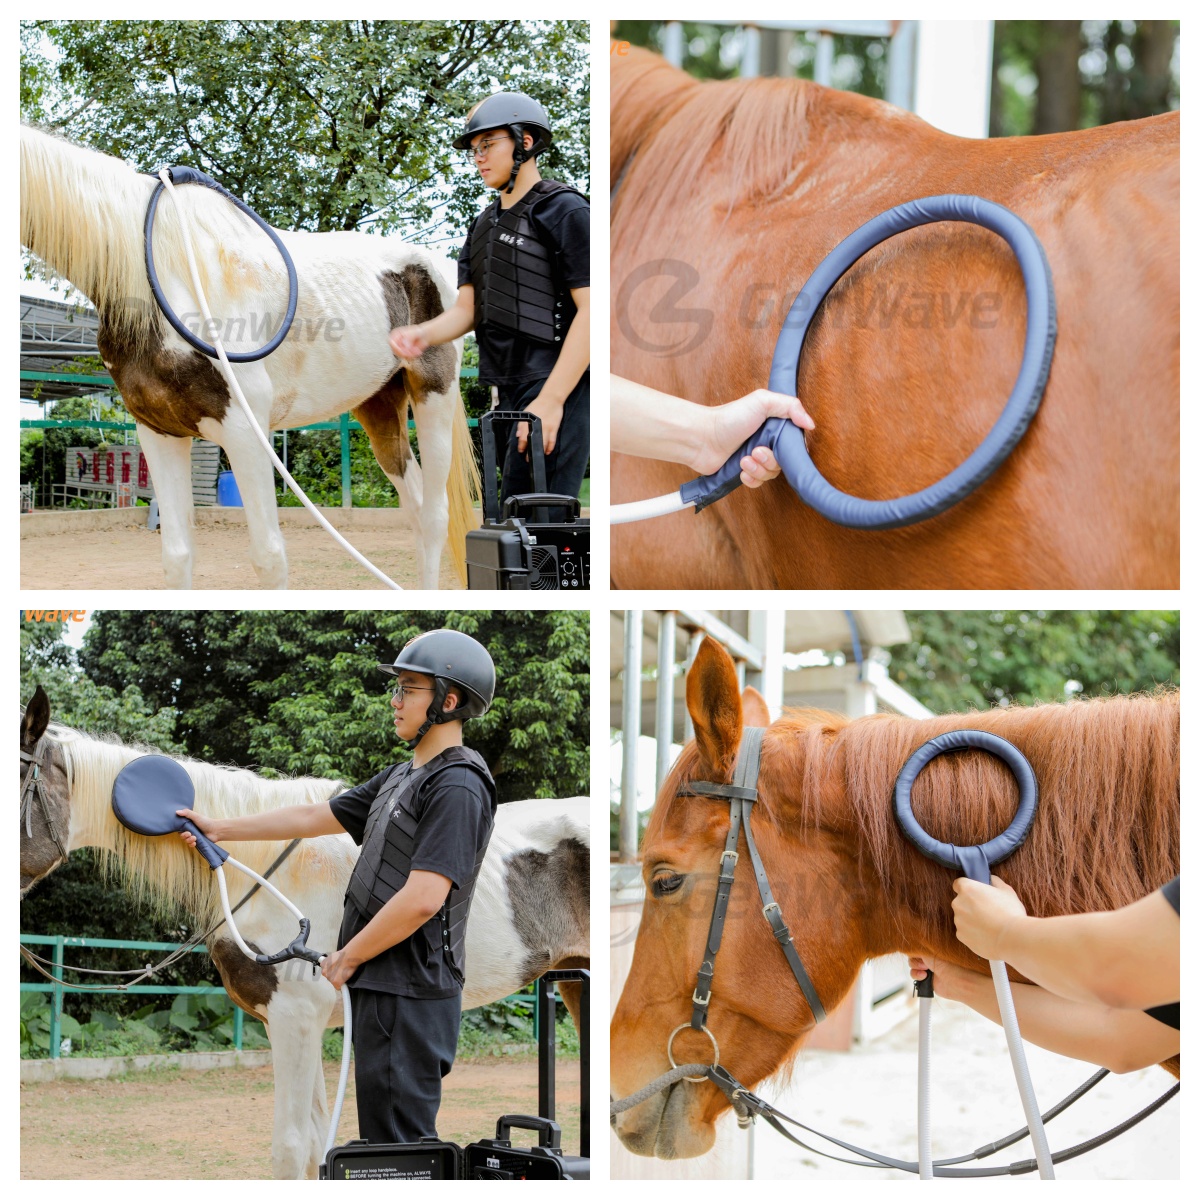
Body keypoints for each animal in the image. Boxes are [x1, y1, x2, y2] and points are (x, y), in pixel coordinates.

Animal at [20, 124, 480, 590]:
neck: (160, 272)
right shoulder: (159, 432)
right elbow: (177, 557)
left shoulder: (245, 430)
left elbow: (269, 557)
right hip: (379, 405)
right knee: (416, 508)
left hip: (433, 395)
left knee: (435, 517)